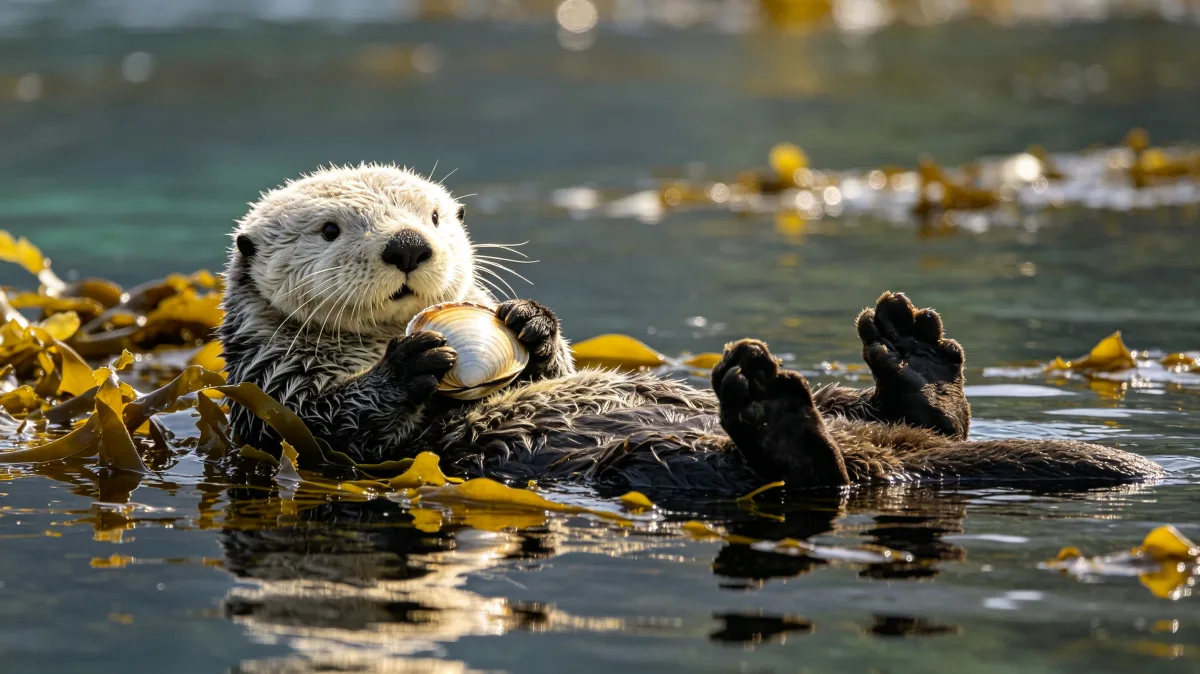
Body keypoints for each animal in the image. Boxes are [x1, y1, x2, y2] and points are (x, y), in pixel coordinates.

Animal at [218, 164, 1163, 496]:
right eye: (331, 229)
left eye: (436, 217)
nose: (409, 245)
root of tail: (895, 460)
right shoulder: (273, 389)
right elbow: (338, 423)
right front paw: (415, 360)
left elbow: (549, 364)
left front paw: (531, 323)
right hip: (651, 459)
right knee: (811, 476)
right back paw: (773, 412)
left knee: (903, 419)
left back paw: (912, 352)